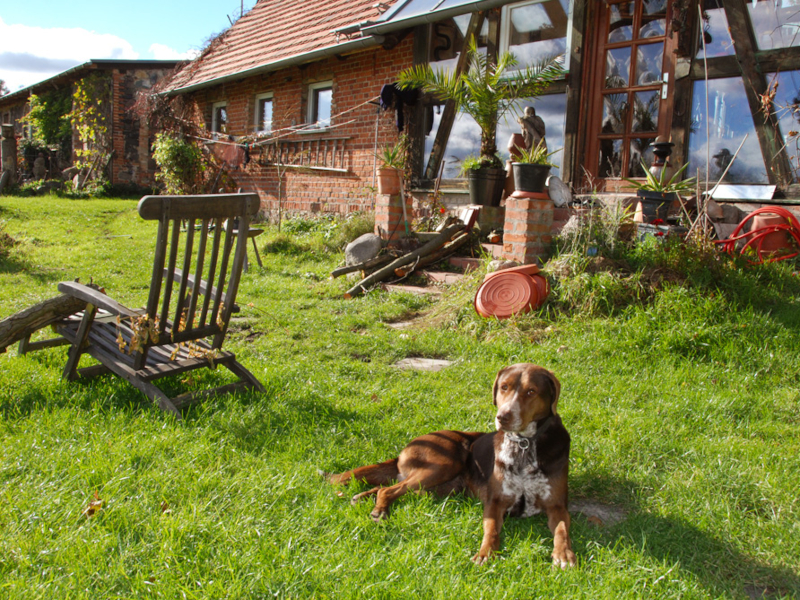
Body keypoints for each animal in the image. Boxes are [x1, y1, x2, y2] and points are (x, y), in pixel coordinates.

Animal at [330, 360, 576, 568]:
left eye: (531, 391)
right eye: (504, 387)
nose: (502, 417)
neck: (525, 444)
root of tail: (406, 449)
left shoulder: (557, 505)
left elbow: (562, 531)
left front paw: (564, 554)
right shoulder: (495, 502)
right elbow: (491, 531)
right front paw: (486, 553)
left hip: (438, 486)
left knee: (388, 487)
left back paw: (363, 498)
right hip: (445, 463)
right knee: (389, 489)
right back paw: (379, 510)